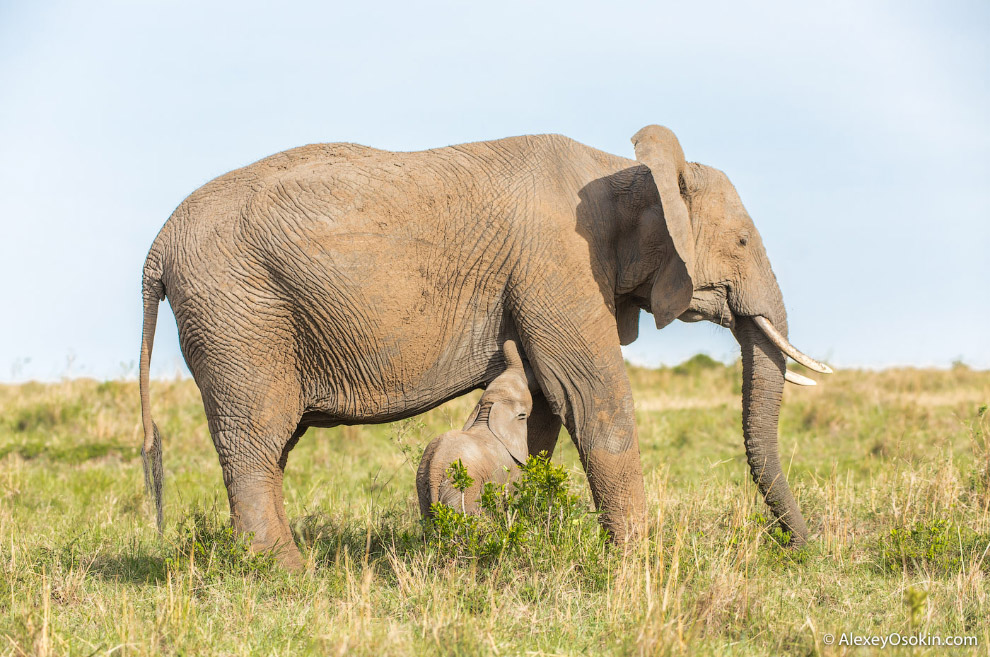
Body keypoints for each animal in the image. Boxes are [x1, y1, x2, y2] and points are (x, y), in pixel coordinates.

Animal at [416, 340, 536, 516]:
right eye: (523, 415)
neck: (490, 408)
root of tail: (434, 471)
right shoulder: (511, 469)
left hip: (423, 487)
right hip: (461, 487)